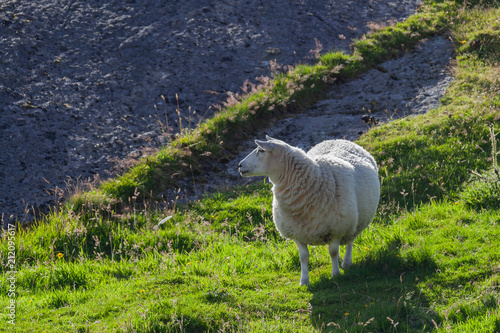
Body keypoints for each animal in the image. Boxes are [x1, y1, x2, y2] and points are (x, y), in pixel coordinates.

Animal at [238, 136, 378, 284]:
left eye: (261, 150)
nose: (240, 165)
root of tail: (338, 139)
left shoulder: (337, 228)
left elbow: (333, 252)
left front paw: (335, 274)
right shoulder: (296, 232)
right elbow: (303, 257)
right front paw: (304, 280)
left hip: (353, 221)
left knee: (350, 241)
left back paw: (346, 263)